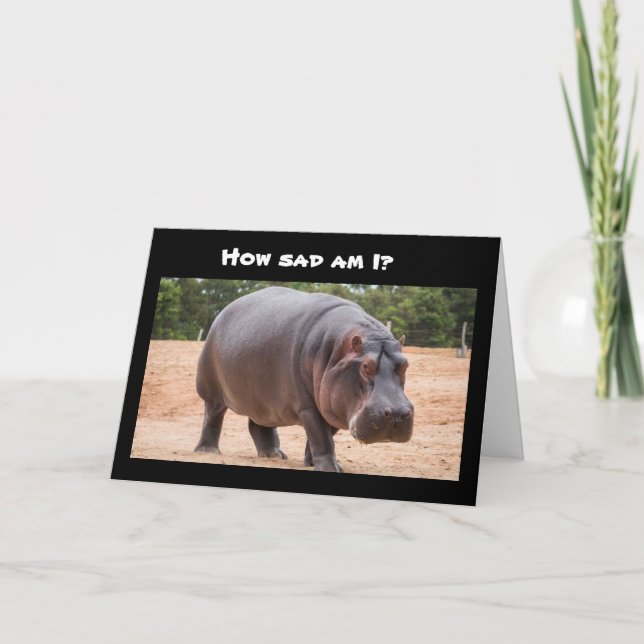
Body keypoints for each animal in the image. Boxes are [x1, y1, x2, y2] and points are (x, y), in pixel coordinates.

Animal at [195, 286, 414, 472]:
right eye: (366, 366)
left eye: (405, 364)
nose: (398, 413)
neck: (338, 351)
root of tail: (225, 309)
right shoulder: (308, 406)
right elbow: (321, 437)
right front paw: (330, 468)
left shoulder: (331, 405)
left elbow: (321, 437)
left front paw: (314, 463)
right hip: (211, 391)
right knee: (213, 418)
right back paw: (207, 451)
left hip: (263, 400)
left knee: (259, 425)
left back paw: (274, 455)